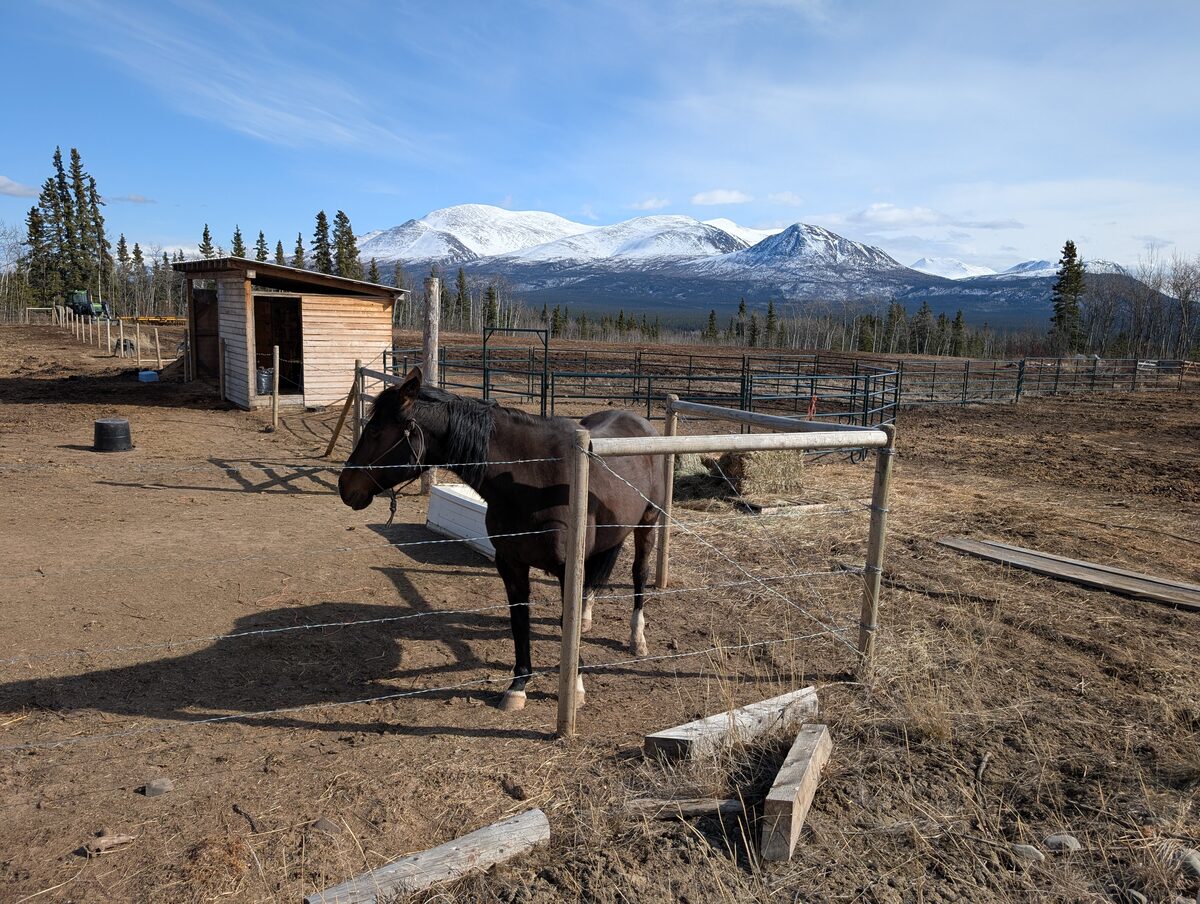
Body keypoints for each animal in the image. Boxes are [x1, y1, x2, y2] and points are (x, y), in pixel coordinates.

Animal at [337, 367, 666, 712]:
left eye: (375, 430)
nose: (345, 486)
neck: (532, 479)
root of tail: (641, 423)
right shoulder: (511, 565)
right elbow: (519, 622)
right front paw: (518, 686)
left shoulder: (564, 570)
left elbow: (566, 620)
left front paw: (575, 685)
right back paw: (588, 618)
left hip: (648, 523)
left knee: (639, 574)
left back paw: (637, 639)